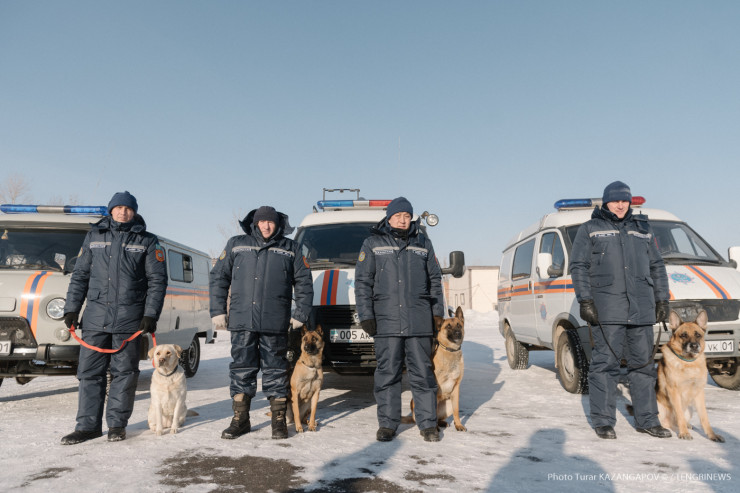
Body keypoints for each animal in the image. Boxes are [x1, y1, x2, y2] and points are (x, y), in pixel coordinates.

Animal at [656, 310, 724, 442]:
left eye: (698, 335)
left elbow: (704, 417)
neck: (688, 363)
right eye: (683, 335)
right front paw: (684, 433)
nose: (694, 346)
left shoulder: (699, 393)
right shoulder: (674, 392)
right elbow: (679, 415)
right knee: (669, 422)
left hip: (690, 409)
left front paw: (712, 435)